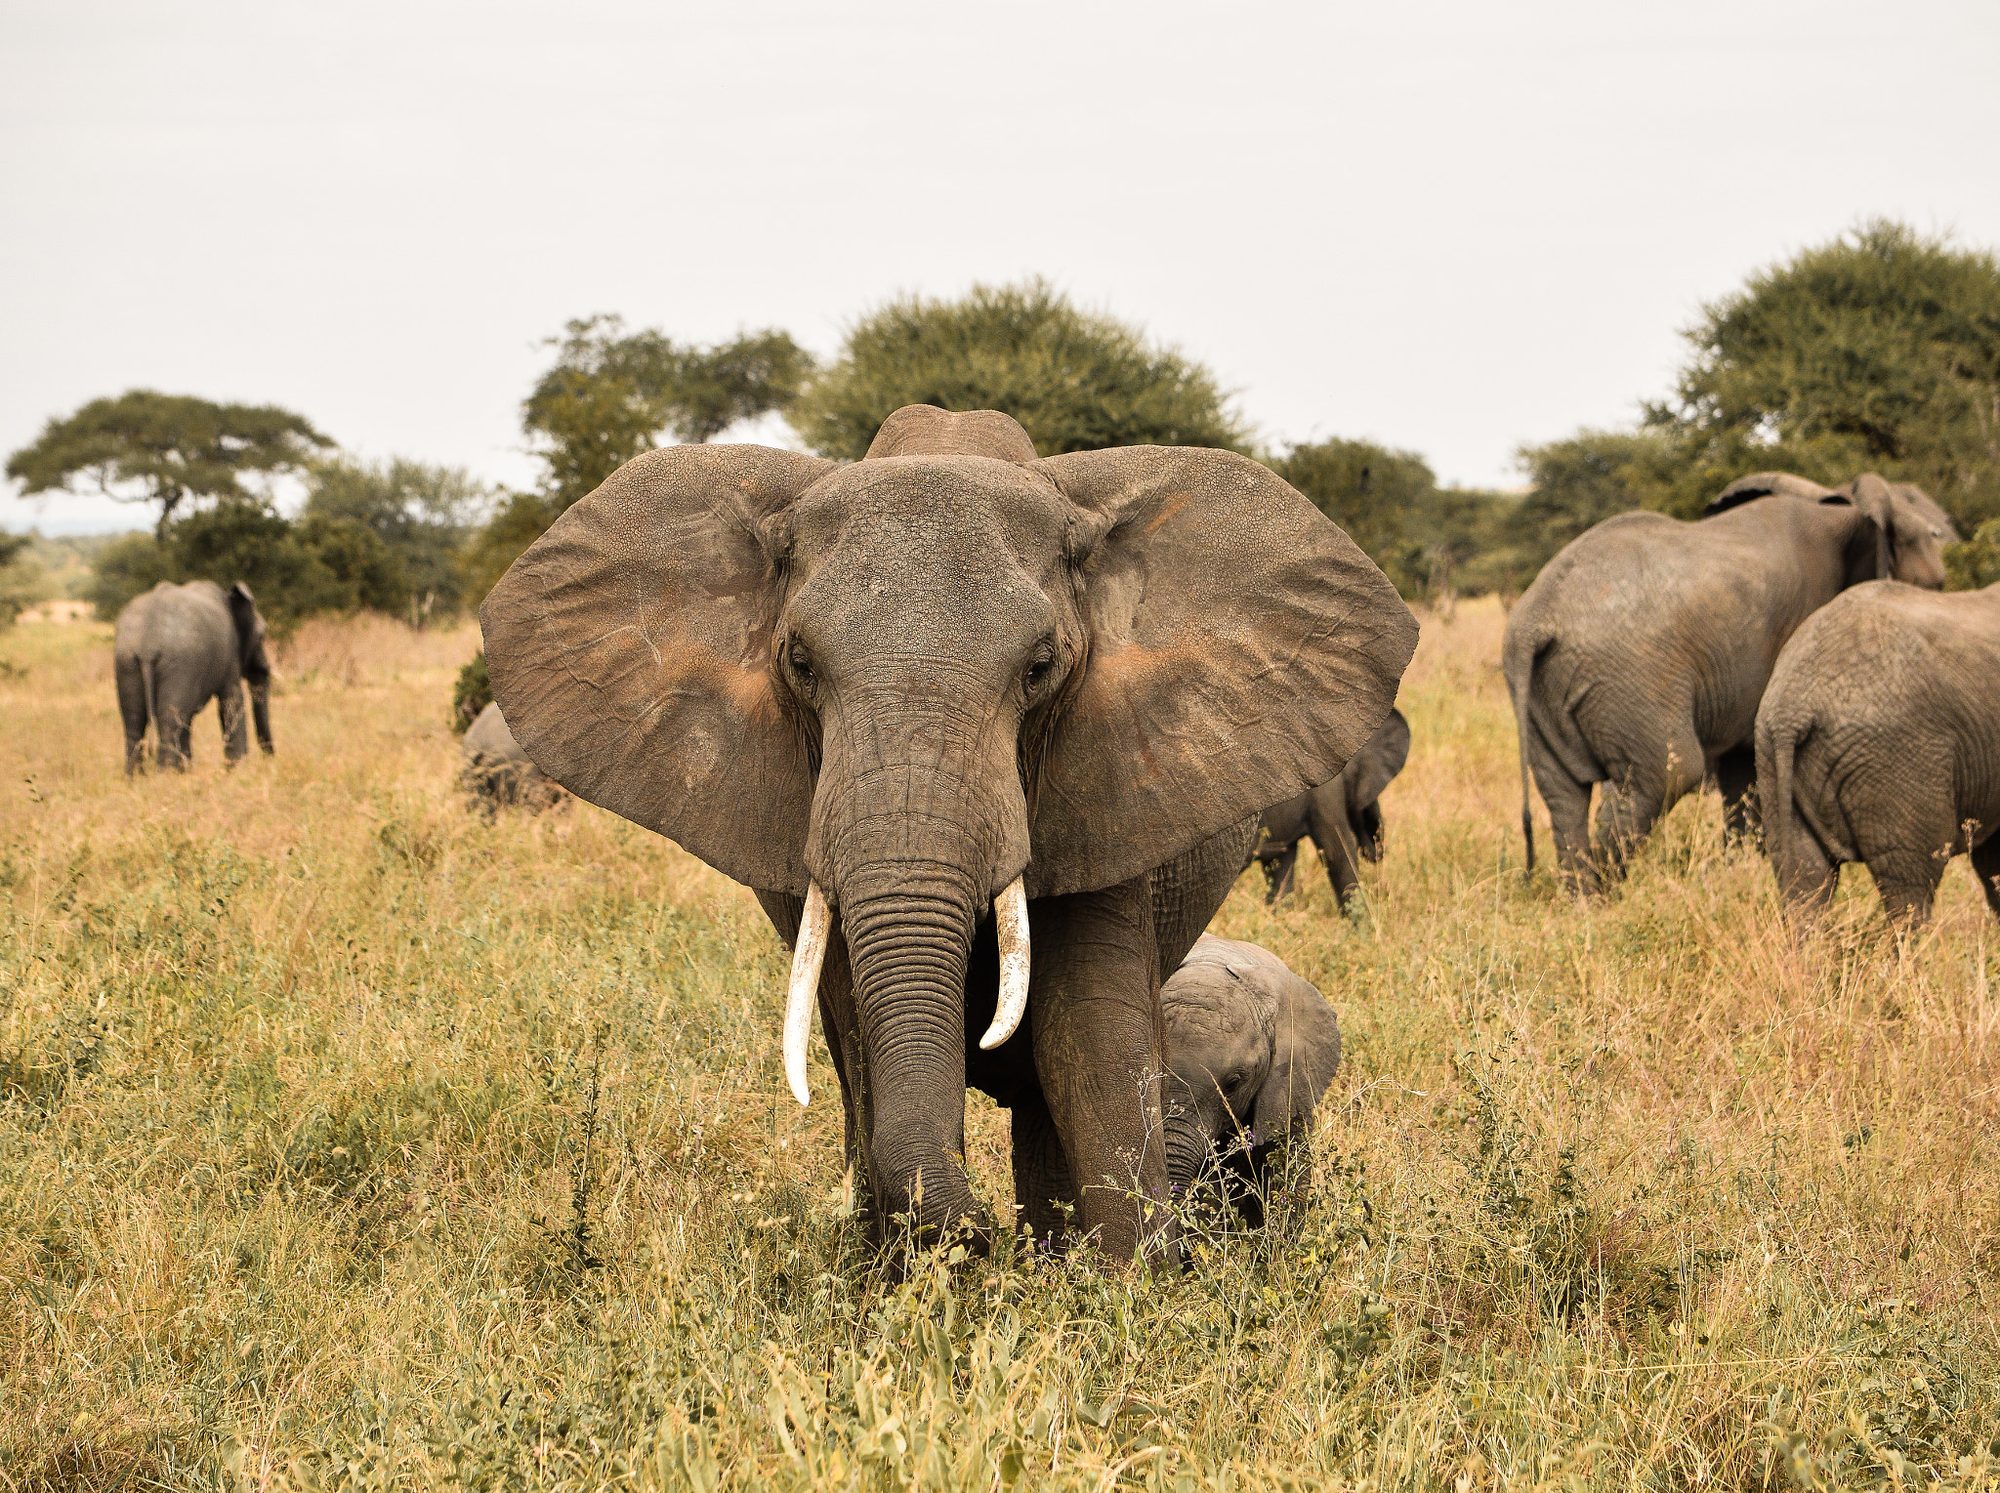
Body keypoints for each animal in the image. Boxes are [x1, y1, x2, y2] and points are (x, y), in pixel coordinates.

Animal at [113, 580, 274, 773]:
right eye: (262, 635)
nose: (269, 759)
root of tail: (147, 646)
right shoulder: (228, 658)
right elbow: (231, 702)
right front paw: (236, 770)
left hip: (126, 661)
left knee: (134, 722)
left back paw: (137, 778)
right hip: (179, 662)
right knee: (170, 723)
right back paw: (166, 776)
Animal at [1503, 472, 1956, 892]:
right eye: (1934, 586)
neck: (1840, 505)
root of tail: (1535, 620)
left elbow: (1743, 768)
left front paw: (1738, 874)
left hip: (1545, 693)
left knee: (1564, 796)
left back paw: (1587, 903)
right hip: (1628, 677)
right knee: (1667, 773)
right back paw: (1609, 894)